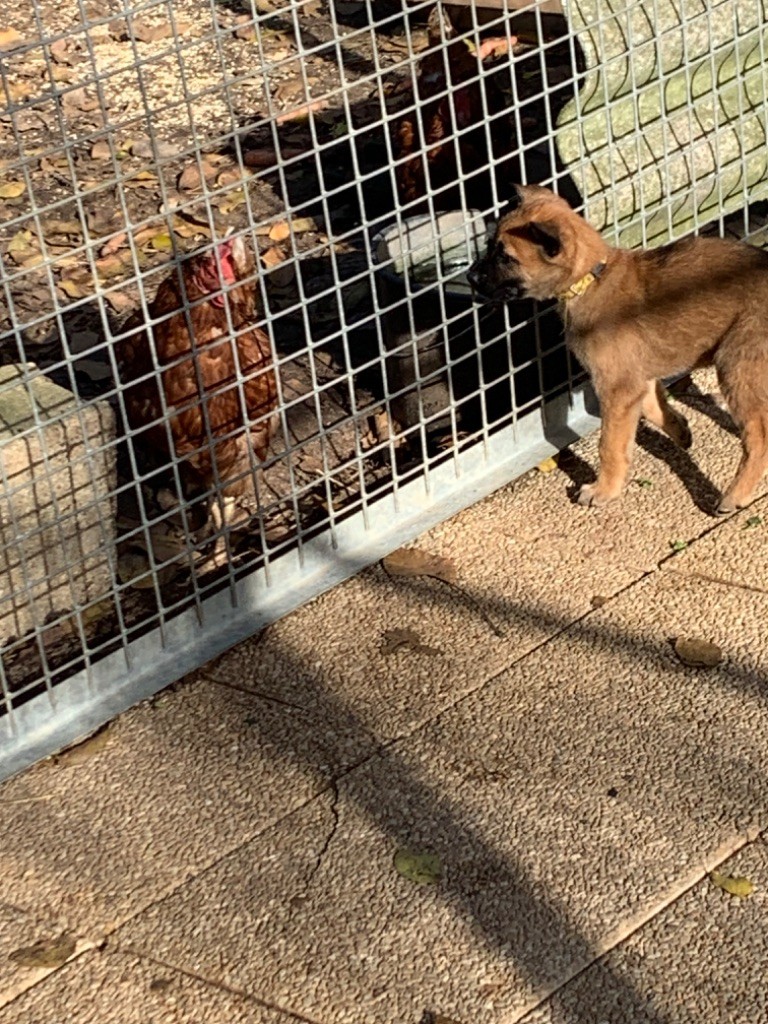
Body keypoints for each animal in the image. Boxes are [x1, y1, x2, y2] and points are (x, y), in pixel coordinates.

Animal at [468, 184, 768, 512]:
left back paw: (735, 495)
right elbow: (654, 407)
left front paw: (604, 490)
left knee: (759, 438)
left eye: (506, 257)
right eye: (489, 246)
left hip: (737, 364)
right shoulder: (635, 379)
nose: (470, 277)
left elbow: (609, 445)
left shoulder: (616, 388)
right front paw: (680, 430)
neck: (591, 278)